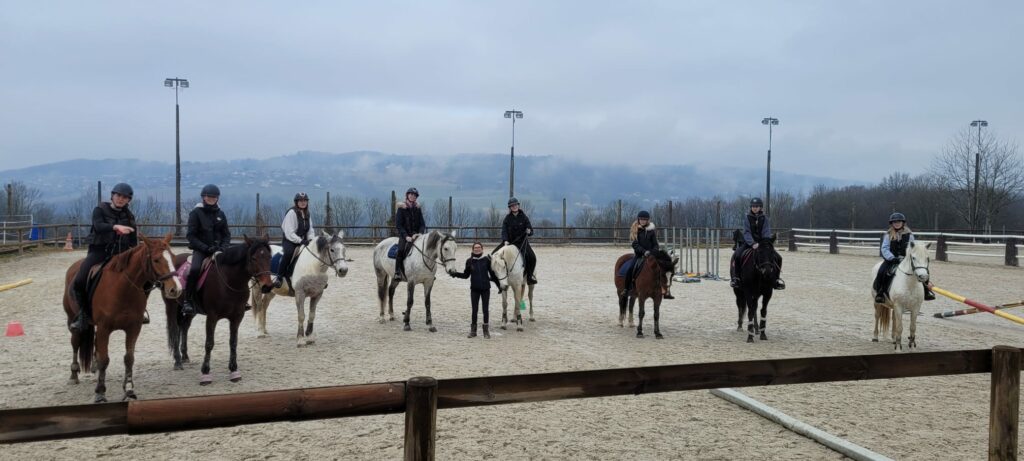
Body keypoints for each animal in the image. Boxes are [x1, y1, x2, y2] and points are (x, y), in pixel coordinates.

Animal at [62, 234, 182, 403]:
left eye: (172, 257)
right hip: (73, 321)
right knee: (75, 343)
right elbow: (105, 360)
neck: (123, 288)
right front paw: (100, 392)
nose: (176, 289)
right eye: (156, 259)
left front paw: (129, 391)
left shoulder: (133, 328)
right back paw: (73, 375)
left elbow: (129, 358)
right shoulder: (104, 328)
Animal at [163, 235, 274, 384]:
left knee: (184, 326)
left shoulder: (237, 317)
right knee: (175, 329)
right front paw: (205, 373)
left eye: (269, 257)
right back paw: (178, 361)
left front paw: (234, 370)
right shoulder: (212, 317)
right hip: (171, 306)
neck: (229, 280)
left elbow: (233, 342)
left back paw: (184, 356)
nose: (267, 286)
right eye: (254, 258)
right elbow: (209, 343)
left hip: (190, 311)